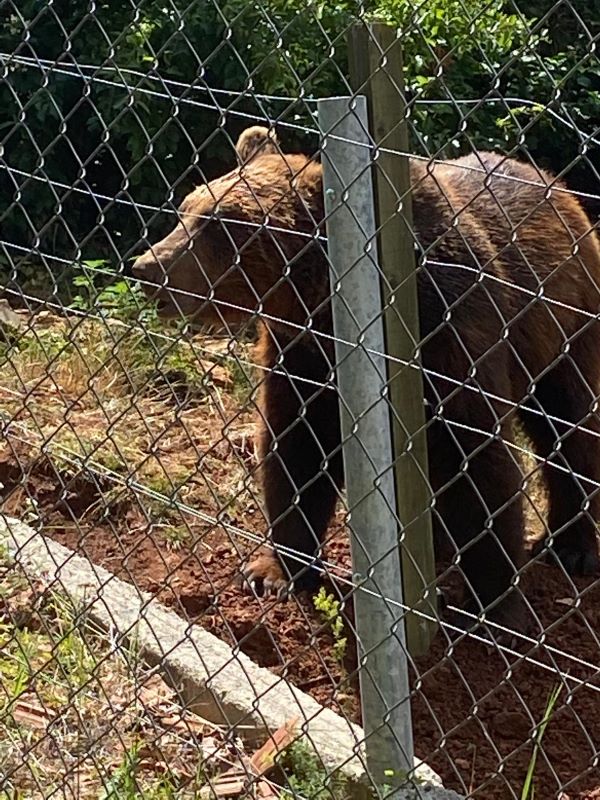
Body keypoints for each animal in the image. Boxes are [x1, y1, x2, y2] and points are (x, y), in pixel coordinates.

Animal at [132, 126, 600, 632]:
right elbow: (296, 449)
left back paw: (570, 546)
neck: (327, 309)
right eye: (186, 208)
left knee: (569, 427)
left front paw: (497, 605)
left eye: (220, 222)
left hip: (567, 326)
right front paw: (274, 572)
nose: (147, 268)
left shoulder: (452, 333)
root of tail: (553, 182)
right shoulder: (301, 356)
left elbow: (477, 462)